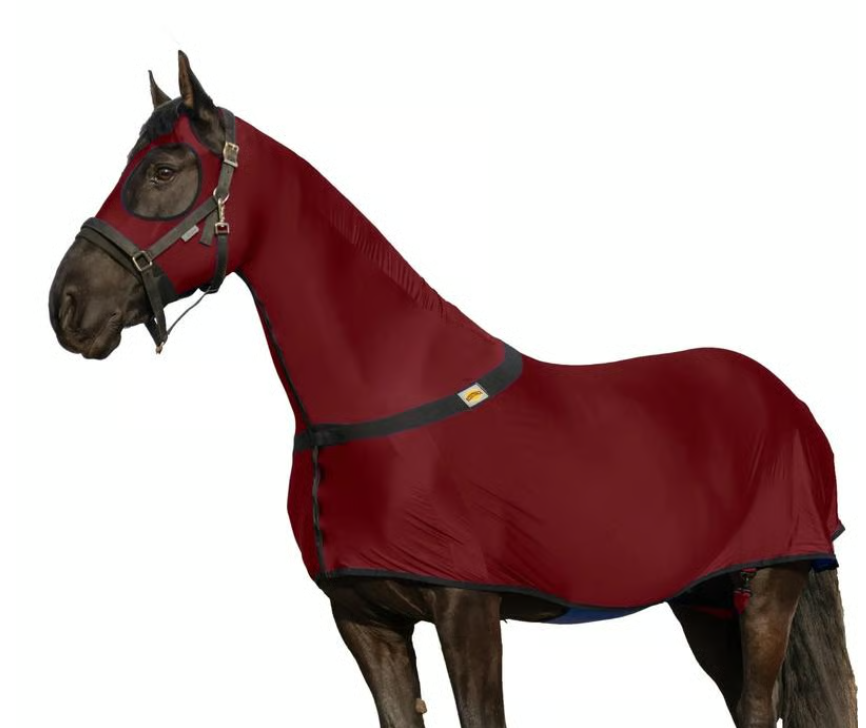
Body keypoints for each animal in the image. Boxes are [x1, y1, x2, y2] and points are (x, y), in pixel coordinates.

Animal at [48, 51, 856, 728]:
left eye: (163, 170)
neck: (382, 397)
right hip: (707, 601)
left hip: (770, 585)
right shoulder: (365, 621)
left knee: (758, 708)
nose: (66, 307)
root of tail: (786, 399)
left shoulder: (468, 611)